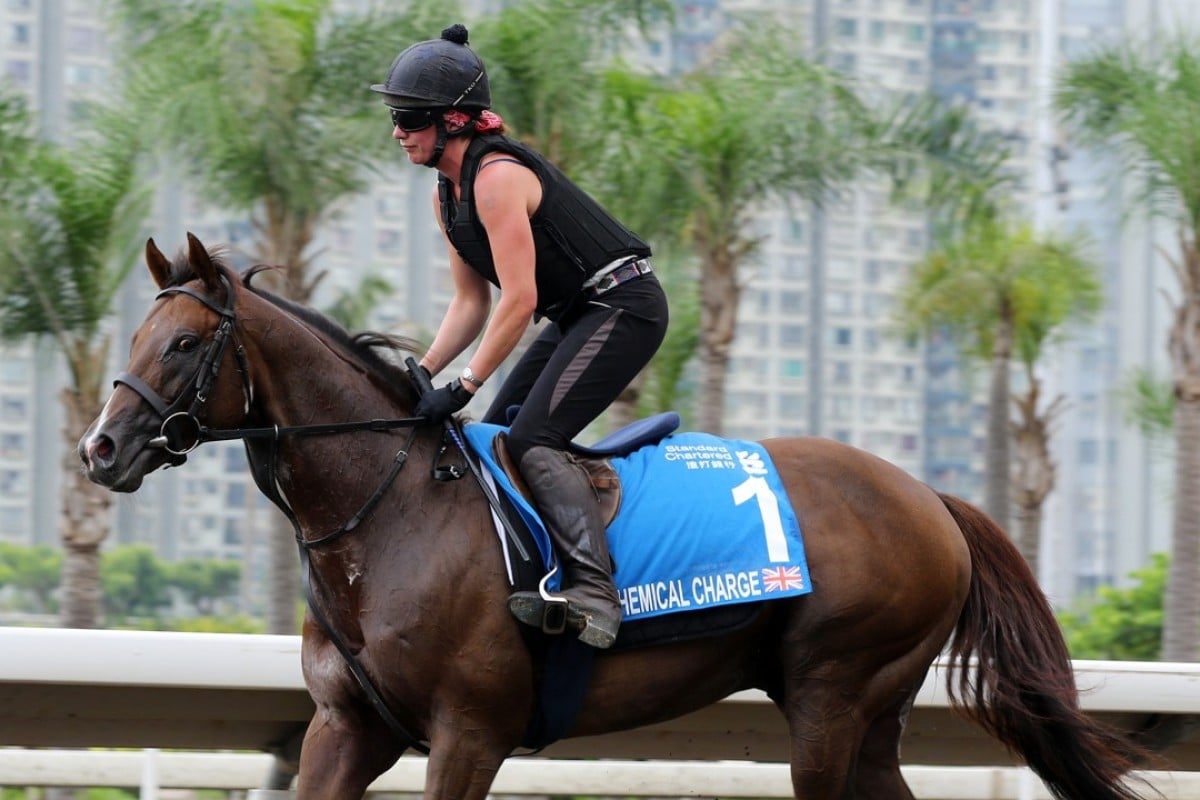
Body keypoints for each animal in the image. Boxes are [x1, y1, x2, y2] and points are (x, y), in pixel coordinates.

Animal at [77, 232, 1152, 800]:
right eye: (135, 336)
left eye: (182, 344)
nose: (101, 449)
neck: (387, 512)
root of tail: (930, 498)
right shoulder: (347, 729)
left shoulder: (469, 732)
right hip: (870, 713)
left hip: (833, 695)